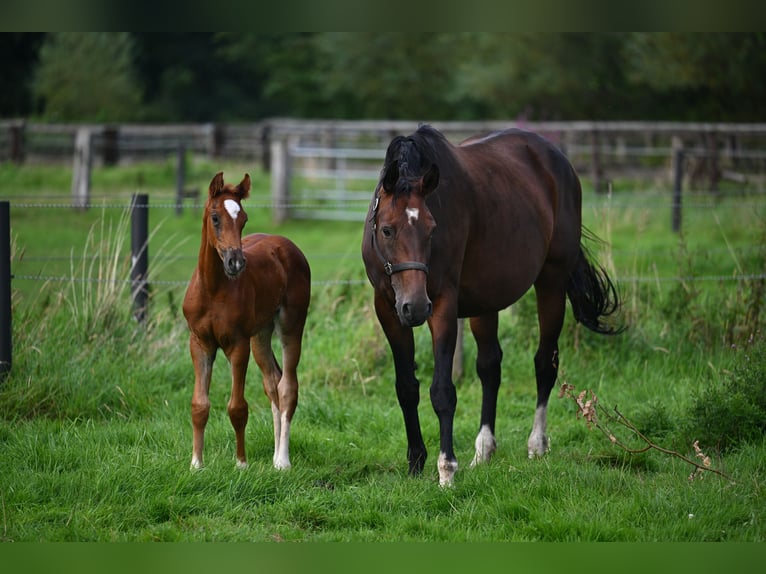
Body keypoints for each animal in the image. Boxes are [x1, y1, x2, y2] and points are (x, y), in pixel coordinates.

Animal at [184, 171, 310, 472]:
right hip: (261, 335)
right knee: (273, 381)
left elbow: (237, 407)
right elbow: (199, 405)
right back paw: (275, 455)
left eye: (243, 219)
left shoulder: (237, 345)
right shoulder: (199, 343)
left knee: (287, 386)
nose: (235, 263)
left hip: (291, 325)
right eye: (215, 217)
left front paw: (241, 463)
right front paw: (196, 464)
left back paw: (282, 461)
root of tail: (285, 244)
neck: (213, 289)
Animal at [364, 125, 620, 486]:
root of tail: (559, 162)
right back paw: (484, 449)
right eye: (387, 230)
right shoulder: (387, 310)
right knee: (490, 366)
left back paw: (537, 444)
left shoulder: (442, 306)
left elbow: (442, 392)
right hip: (486, 300)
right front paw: (416, 462)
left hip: (552, 282)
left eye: (432, 229)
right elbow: (406, 388)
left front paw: (446, 469)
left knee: (545, 362)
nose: (415, 307)